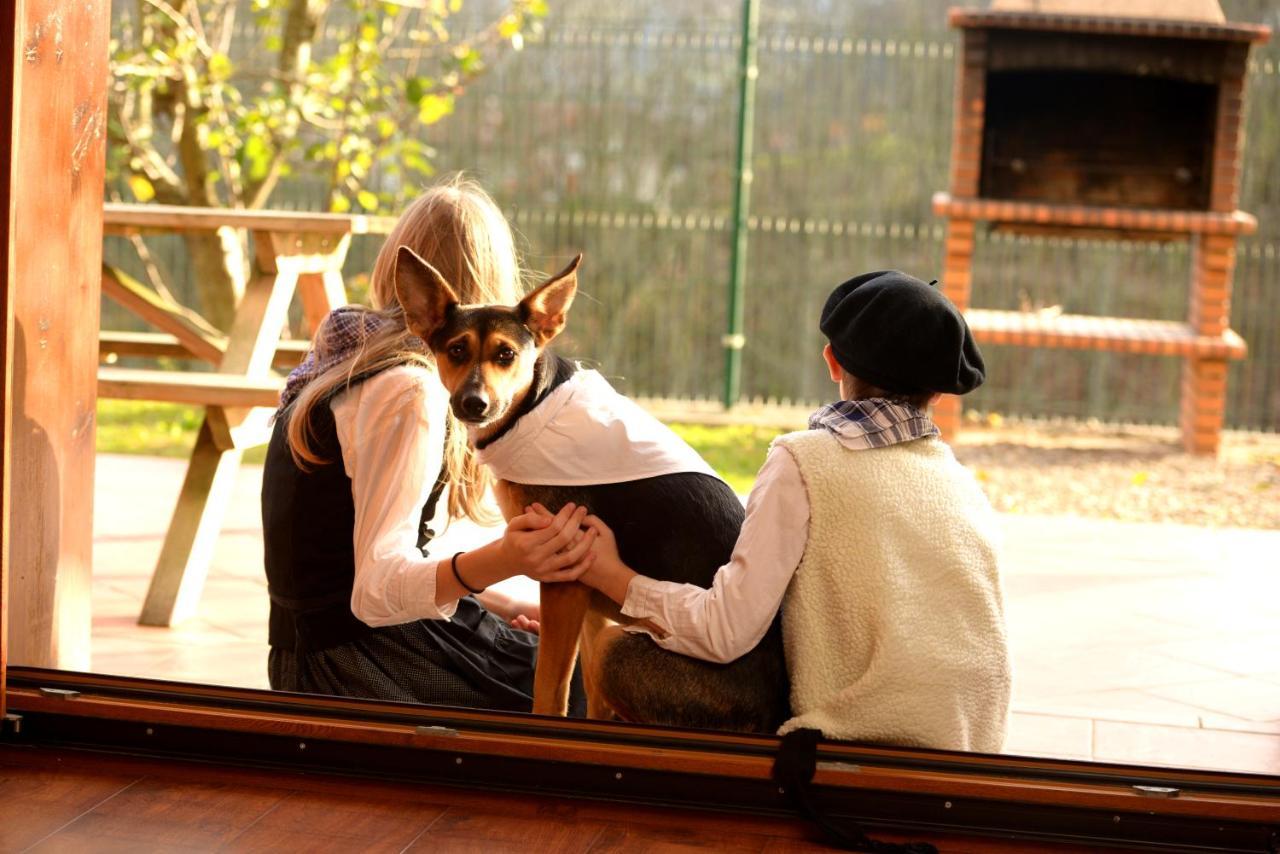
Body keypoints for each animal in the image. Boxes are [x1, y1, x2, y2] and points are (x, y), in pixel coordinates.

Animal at [391, 243, 788, 732]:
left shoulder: (564, 585)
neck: (532, 408)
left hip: (616, 646)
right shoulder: (589, 604)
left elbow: (549, 691)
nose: (473, 403)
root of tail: (776, 713)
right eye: (456, 350)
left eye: (506, 355)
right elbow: (589, 704)